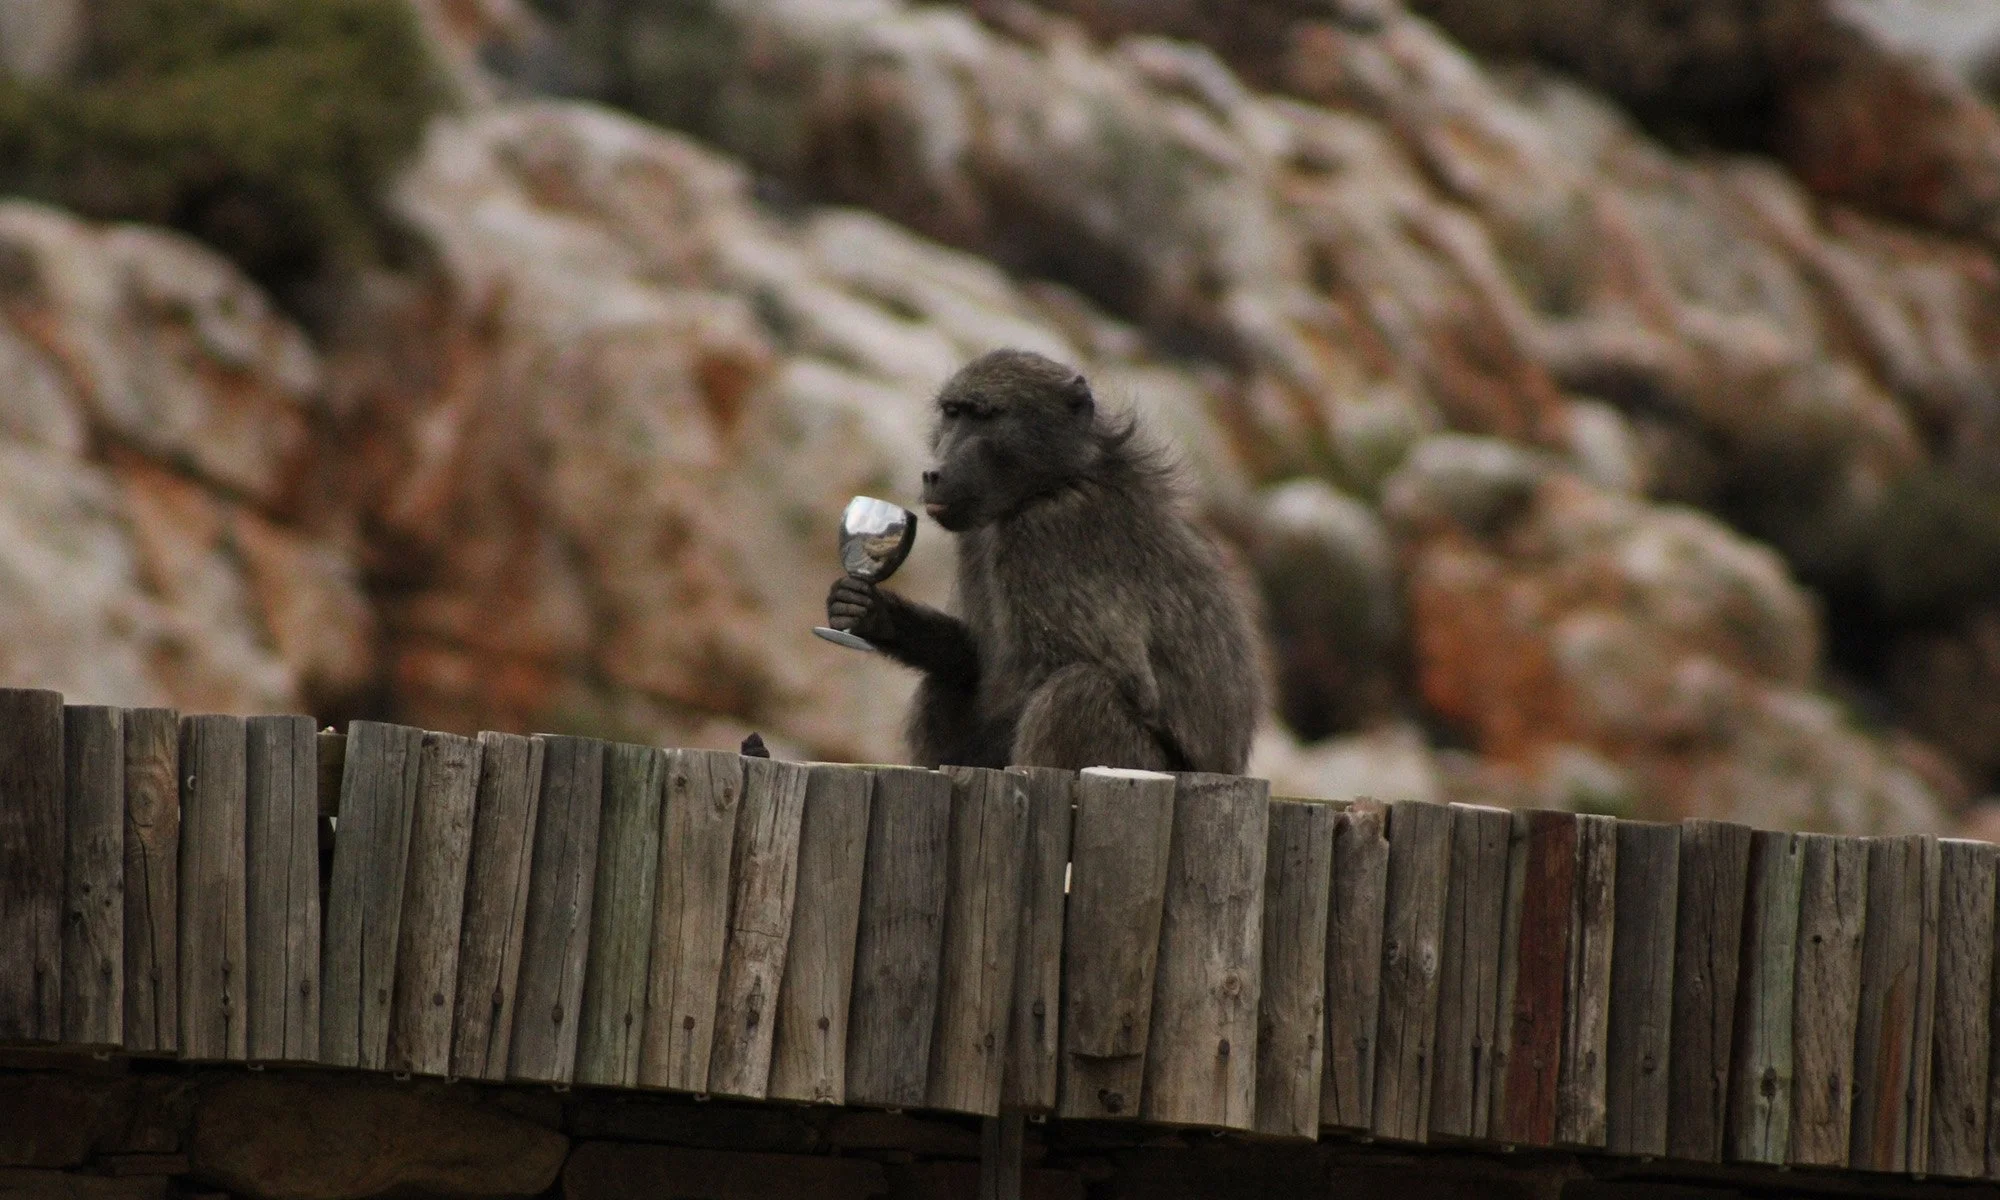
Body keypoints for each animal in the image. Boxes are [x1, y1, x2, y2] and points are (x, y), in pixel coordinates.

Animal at [825, 348, 1262, 774]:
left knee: (1078, 692)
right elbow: (976, 657)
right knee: (943, 685)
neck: (1052, 483)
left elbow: (1125, 680)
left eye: (986, 416)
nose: (934, 474)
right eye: (952, 413)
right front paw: (870, 612)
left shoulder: (1050, 530)